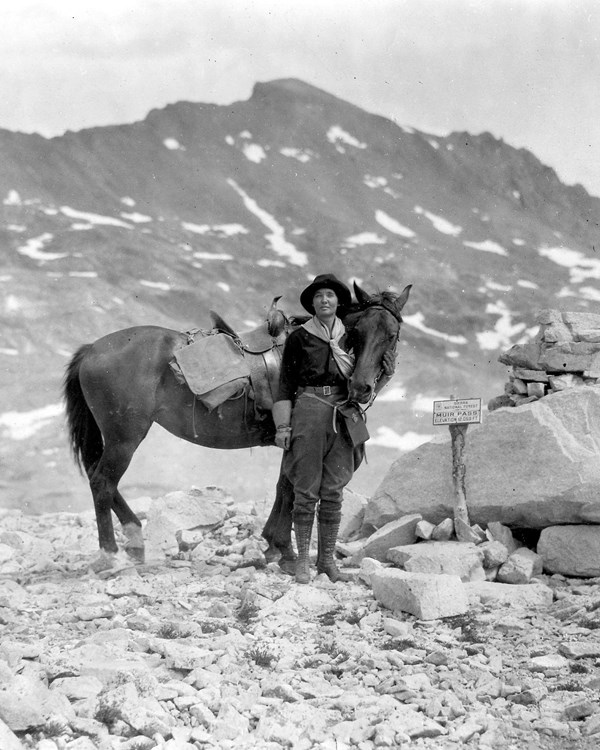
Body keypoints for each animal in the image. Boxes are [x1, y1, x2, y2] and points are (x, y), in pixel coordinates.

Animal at [64, 280, 412, 564]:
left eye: (391, 334)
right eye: (357, 332)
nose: (360, 387)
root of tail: (91, 350)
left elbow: (283, 486)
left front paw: (274, 544)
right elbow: (287, 488)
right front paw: (280, 547)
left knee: (102, 480)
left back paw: (134, 541)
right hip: (125, 437)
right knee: (102, 482)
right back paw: (110, 554)